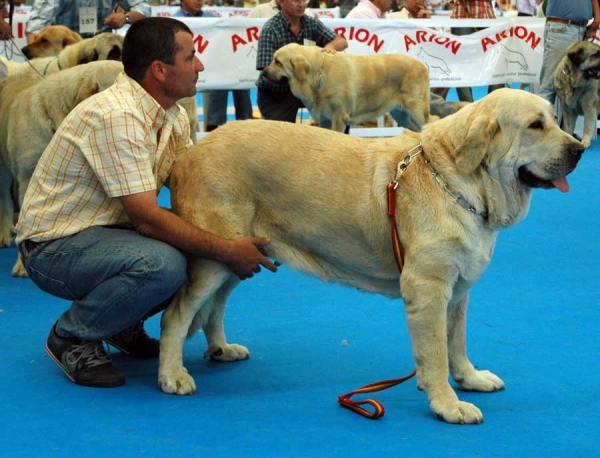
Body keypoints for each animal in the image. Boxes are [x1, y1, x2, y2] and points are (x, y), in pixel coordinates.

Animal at [158, 87, 580, 424]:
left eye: (554, 119)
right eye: (535, 125)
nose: (579, 147)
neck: (459, 183)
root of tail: (189, 153)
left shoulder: (458, 288)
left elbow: (456, 341)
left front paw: (470, 378)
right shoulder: (428, 288)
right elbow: (436, 353)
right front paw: (447, 404)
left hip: (238, 257)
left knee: (214, 308)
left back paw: (221, 349)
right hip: (214, 258)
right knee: (177, 314)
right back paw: (172, 375)